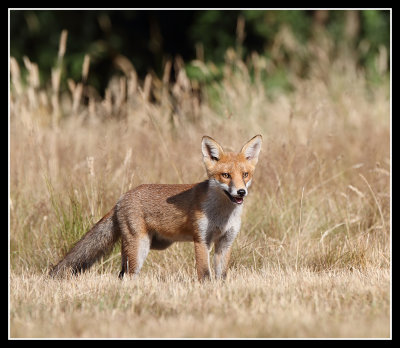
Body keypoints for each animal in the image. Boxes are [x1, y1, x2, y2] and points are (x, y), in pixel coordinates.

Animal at [50, 135, 262, 282]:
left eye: (245, 174)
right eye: (226, 175)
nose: (241, 192)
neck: (222, 215)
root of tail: (121, 198)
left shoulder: (225, 243)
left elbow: (222, 277)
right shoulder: (202, 240)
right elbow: (204, 275)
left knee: (121, 275)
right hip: (139, 248)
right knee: (127, 276)